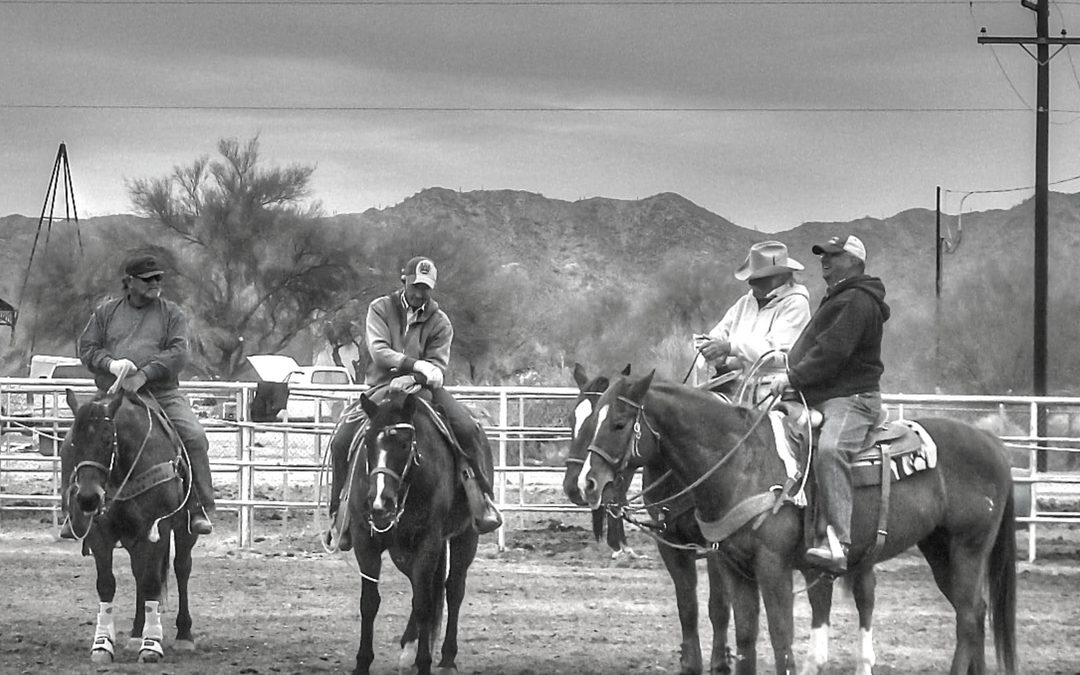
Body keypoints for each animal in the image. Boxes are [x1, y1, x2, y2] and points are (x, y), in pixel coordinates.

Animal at [61, 388, 201, 665]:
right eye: (73, 443)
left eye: (107, 441)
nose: (88, 498)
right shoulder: (99, 533)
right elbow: (106, 584)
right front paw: (102, 644)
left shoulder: (158, 527)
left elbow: (152, 583)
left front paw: (151, 645)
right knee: (139, 574)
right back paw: (136, 633)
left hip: (183, 531)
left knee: (181, 568)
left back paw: (184, 634)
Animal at [345, 388, 481, 673]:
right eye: (368, 443)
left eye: (405, 445)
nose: (380, 502)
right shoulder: (365, 542)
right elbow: (369, 602)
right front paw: (362, 662)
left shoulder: (428, 542)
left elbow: (423, 604)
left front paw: (424, 661)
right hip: (403, 551)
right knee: (428, 586)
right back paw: (409, 646)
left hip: (465, 537)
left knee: (453, 589)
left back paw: (447, 657)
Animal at [561, 362, 730, 673]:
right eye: (572, 421)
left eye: (616, 425)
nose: (577, 485)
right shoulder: (668, 542)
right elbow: (687, 606)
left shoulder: (717, 547)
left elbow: (719, 606)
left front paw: (721, 663)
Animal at [583, 373, 1010, 673]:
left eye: (619, 423)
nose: (588, 481)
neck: (742, 462)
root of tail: (994, 445)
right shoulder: (736, 567)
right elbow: (746, 638)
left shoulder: (773, 567)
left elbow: (780, 639)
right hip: (939, 549)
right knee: (975, 612)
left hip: (968, 547)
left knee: (968, 616)